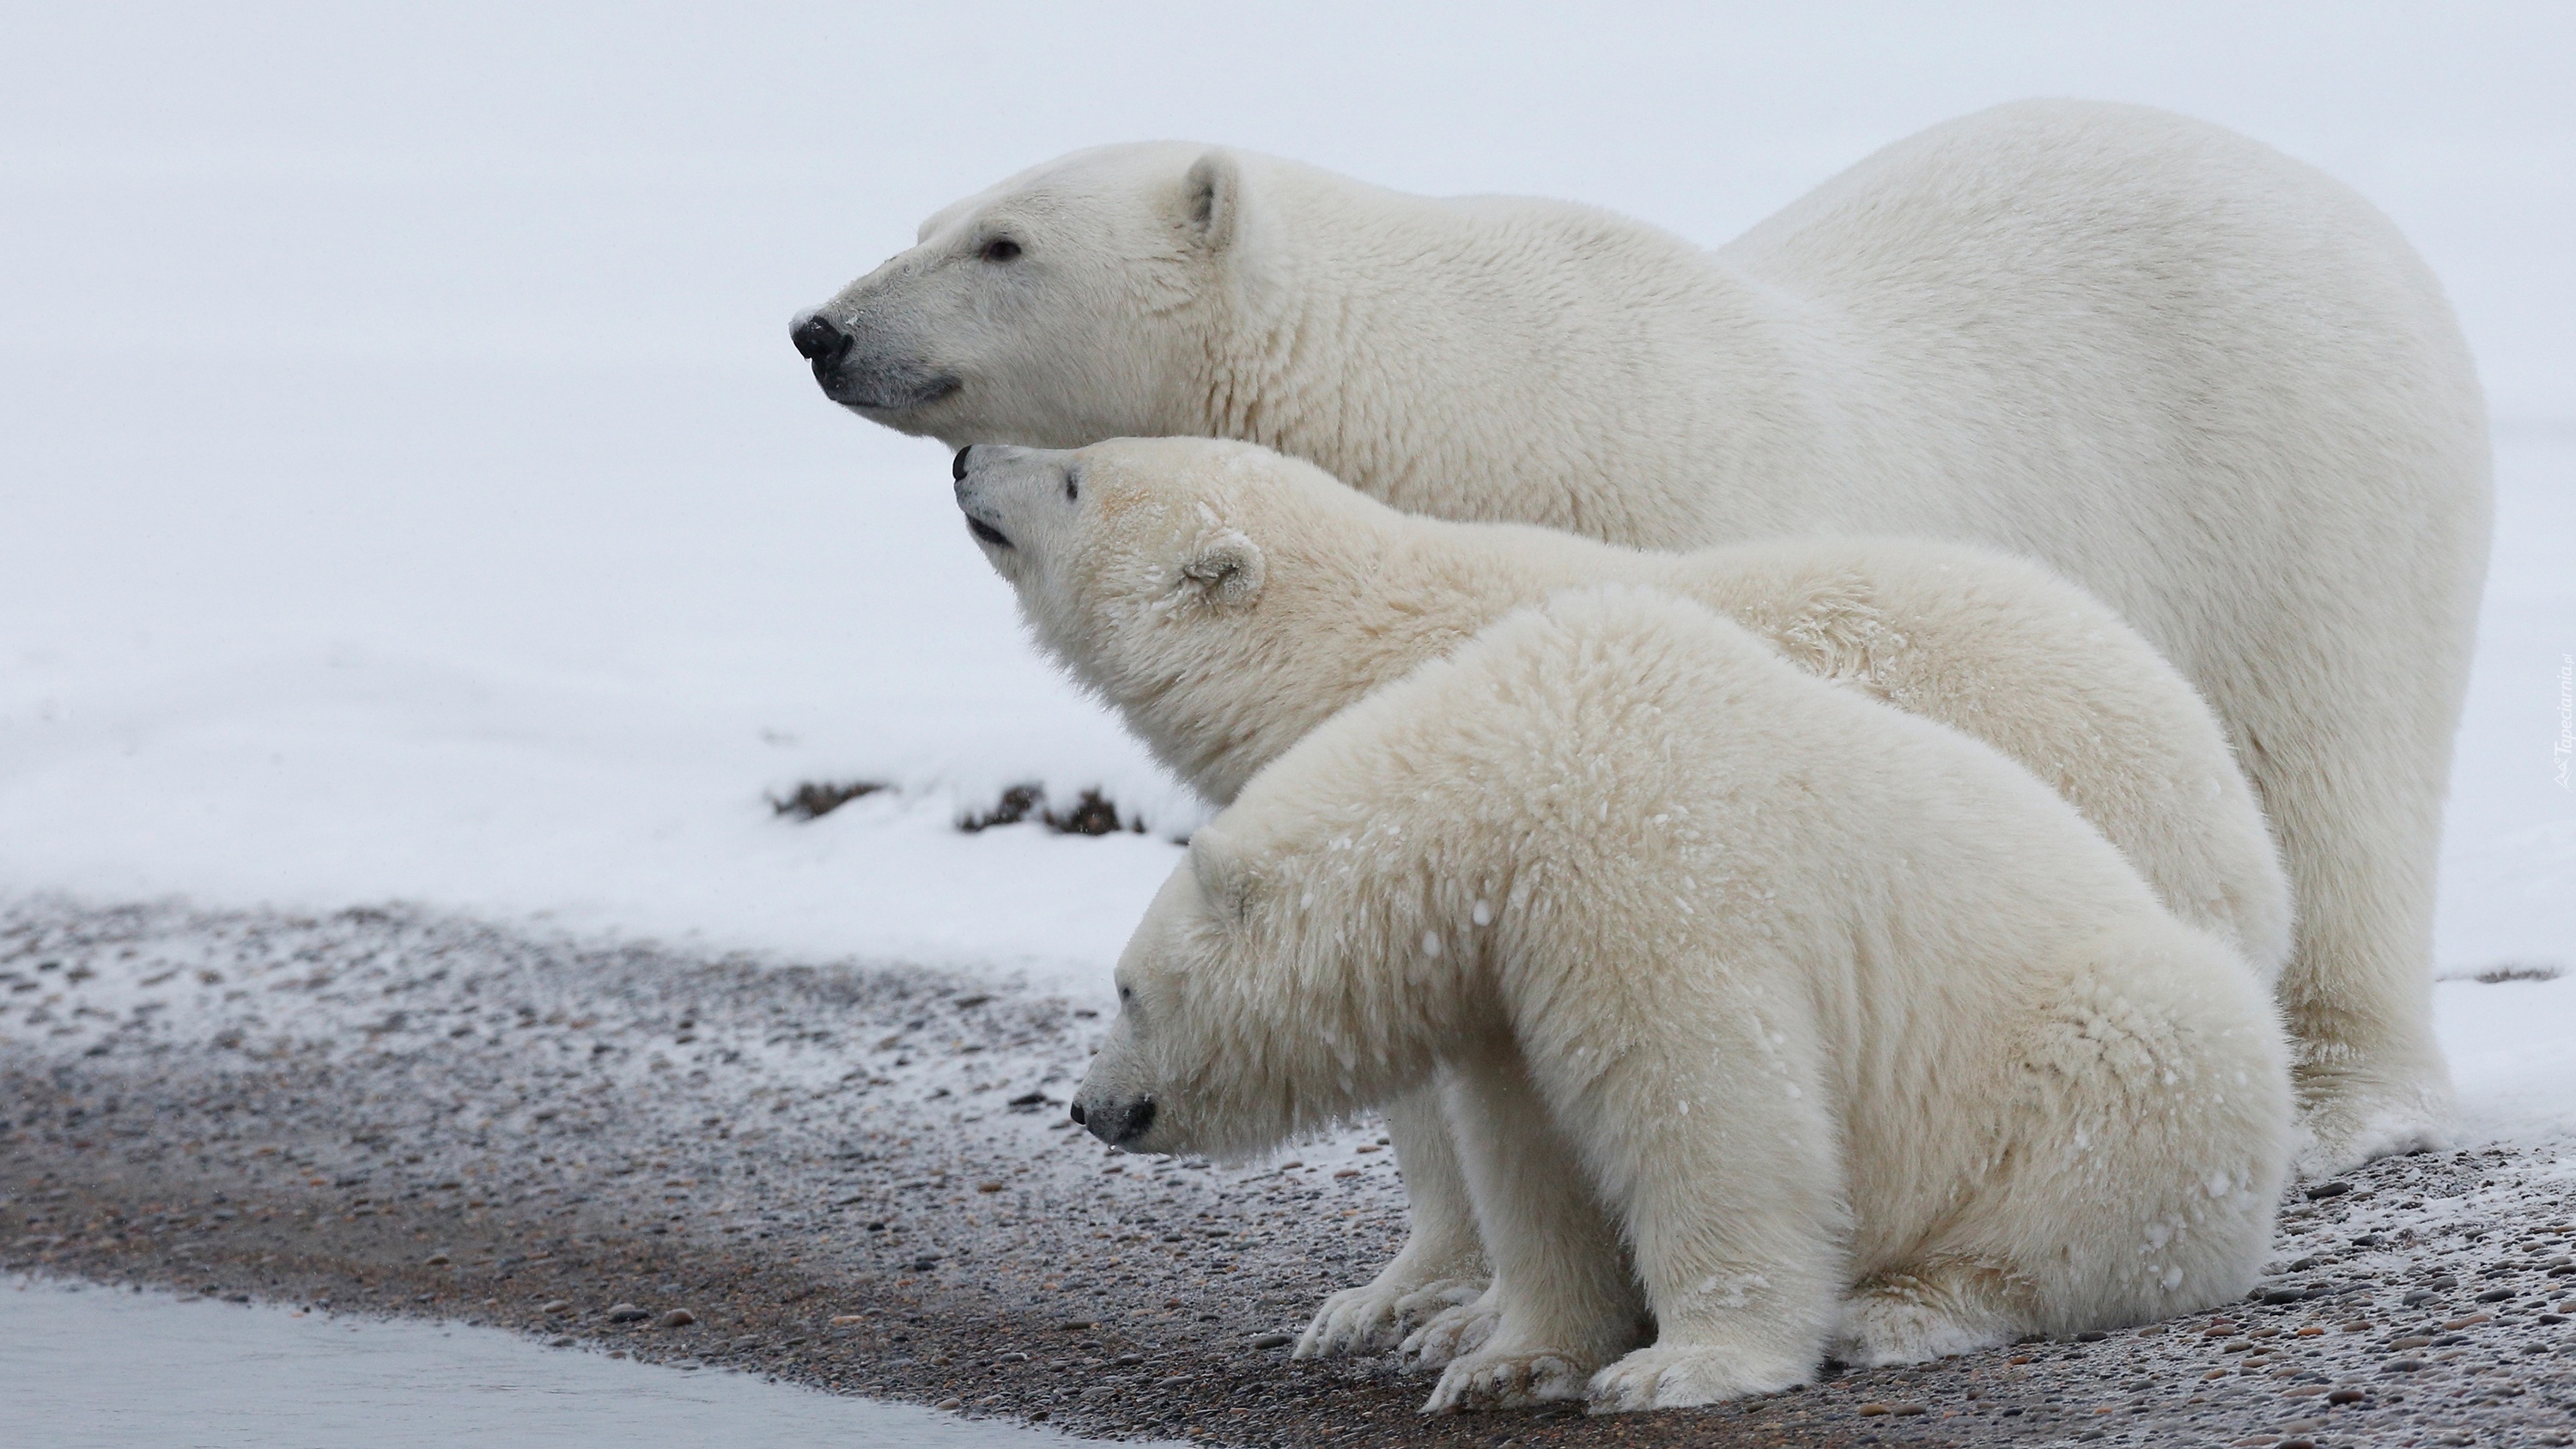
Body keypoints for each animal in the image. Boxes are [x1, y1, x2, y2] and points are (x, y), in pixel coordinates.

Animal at [804, 101, 2494, 1165]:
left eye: (1004, 243)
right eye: (927, 216)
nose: (821, 326)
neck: (1452, 394)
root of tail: (2351, 215)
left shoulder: (1670, 504)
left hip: (2308, 476)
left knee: (2337, 770)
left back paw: (2340, 1099)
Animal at [953, 428, 2298, 1350]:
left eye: (1076, 477)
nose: (970, 458)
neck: (1351, 650)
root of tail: (2226, 802)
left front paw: (1429, 1305)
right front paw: (1374, 1303)